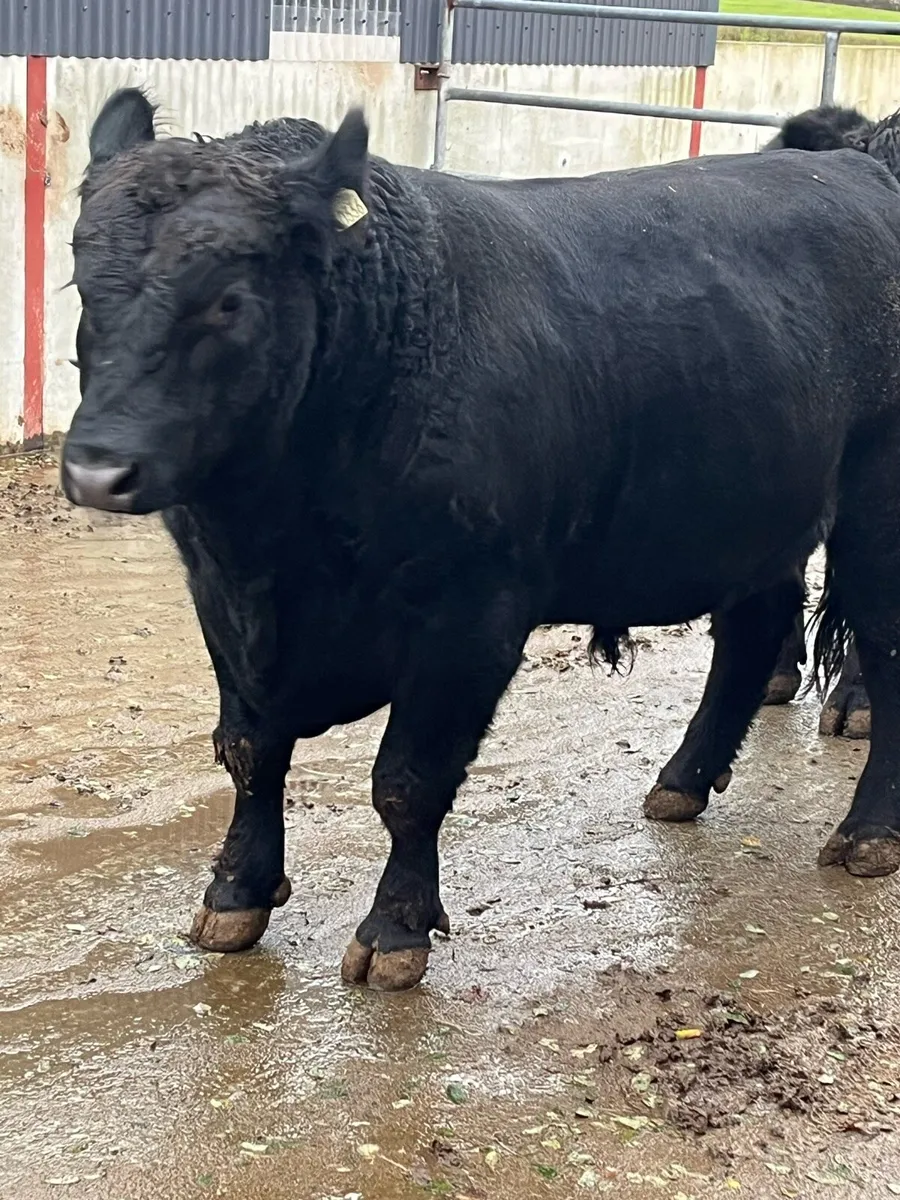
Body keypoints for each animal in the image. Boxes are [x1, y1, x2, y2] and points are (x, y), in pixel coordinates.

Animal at [61, 88, 900, 991]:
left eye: (228, 300)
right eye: (84, 286)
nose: (97, 469)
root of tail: (858, 167)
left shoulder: (468, 617)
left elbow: (407, 782)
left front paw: (395, 931)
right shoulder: (225, 605)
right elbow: (251, 751)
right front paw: (235, 893)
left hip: (874, 514)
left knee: (881, 655)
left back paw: (867, 834)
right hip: (751, 513)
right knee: (752, 634)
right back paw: (683, 780)